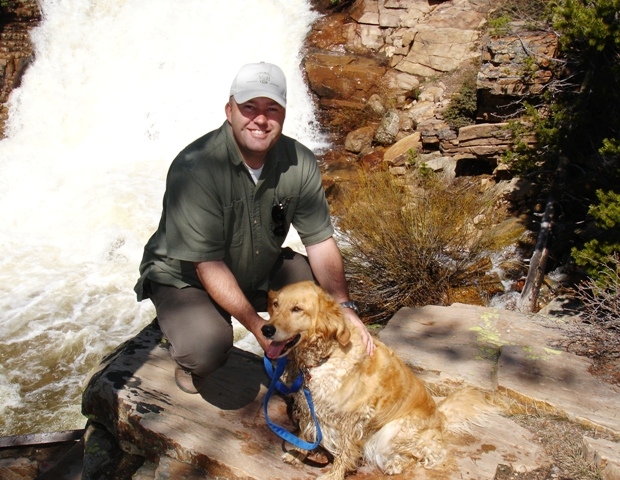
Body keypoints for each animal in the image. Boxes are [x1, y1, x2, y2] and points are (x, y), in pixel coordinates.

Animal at [260, 282, 490, 480]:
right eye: (275, 304)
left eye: (297, 309)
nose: (266, 329)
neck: (324, 357)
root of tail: (440, 416)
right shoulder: (310, 405)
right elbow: (306, 431)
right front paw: (297, 453)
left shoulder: (353, 416)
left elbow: (344, 451)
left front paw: (334, 475)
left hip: (395, 430)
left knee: (428, 454)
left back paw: (396, 464)